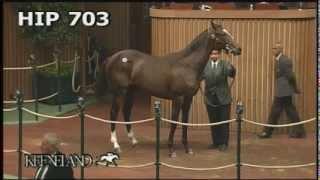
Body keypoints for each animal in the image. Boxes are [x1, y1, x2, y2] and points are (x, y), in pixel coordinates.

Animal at [96, 21, 241, 158]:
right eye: (222, 34)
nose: (238, 49)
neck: (187, 65)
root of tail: (112, 58)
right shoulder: (178, 98)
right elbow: (174, 122)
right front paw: (171, 150)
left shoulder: (188, 98)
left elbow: (184, 122)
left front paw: (187, 148)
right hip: (119, 92)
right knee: (113, 113)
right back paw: (116, 145)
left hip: (131, 91)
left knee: (126, 111)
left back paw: (133, 141)